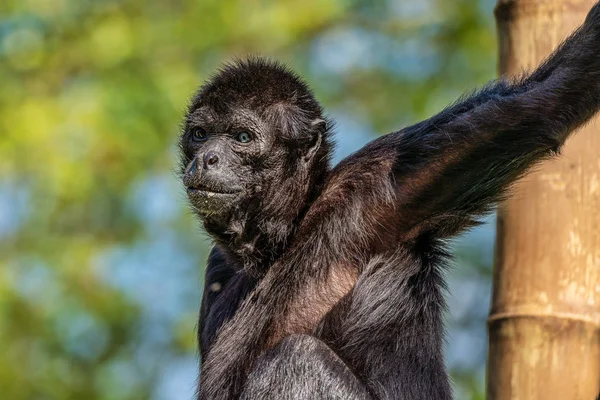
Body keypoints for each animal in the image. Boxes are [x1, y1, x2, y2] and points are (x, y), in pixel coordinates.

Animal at [180, 2, 600, 396]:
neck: (295, 224)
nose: (208, 157)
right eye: (200, 135)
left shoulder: (372, 187)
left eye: (242, 138)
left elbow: (544, 103)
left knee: (298, 357)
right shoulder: (219, 263)